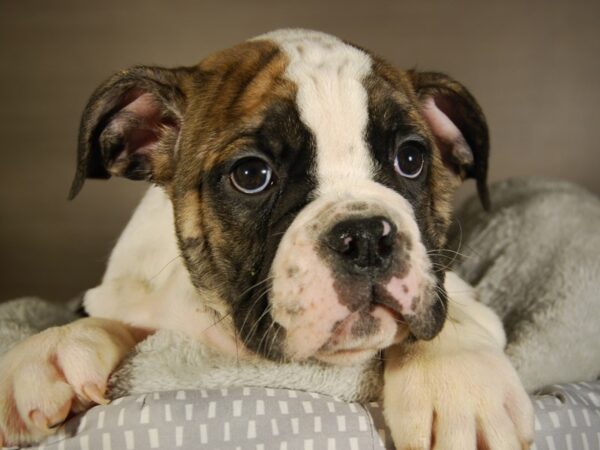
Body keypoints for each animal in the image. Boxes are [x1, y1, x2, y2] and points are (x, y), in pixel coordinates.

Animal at [0, 29, 536, 448]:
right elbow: (110, 320)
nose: (365, 237)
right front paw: (49, 351)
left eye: (411, 159)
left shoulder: (450, 287)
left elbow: (448, 318)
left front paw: (461, 386)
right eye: (251, 174)